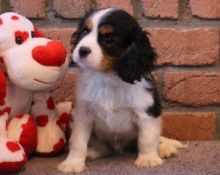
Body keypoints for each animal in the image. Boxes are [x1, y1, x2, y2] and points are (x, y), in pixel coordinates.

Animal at [57, 7, 183, 172]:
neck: (108, 78)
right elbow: (77, 141)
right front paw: (73, 163)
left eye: (109, 39)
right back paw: (91, 152)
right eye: (85, 31)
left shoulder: (147, 112)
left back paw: (164, 148)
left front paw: (148, 159)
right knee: (104, 148)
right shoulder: (82, 114)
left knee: (153, 139)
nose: (82, 50)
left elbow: (147, 139)